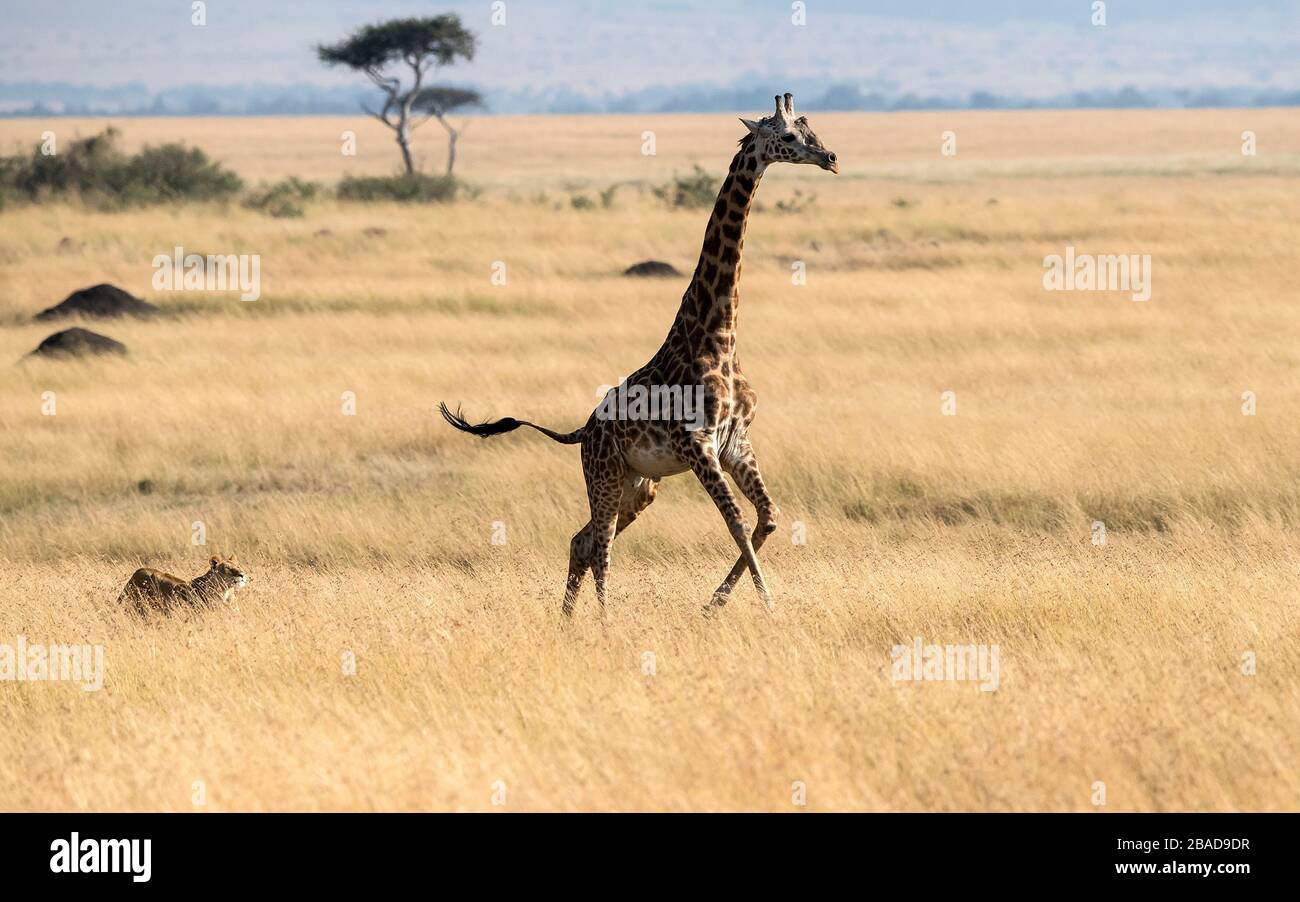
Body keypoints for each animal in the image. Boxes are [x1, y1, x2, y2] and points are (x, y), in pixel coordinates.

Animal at [441, 93, 837, 615]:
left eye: (811, 130)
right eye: (789, 136)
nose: (830, 157)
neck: (719, 334)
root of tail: (582, 430)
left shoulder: (735, 442)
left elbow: (768, 518)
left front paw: (718, 602)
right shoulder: (697, 444)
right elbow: (735, 524)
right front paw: (763, 606)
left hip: (641, 486)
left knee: (583, 540)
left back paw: (568, 621)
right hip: (605, 475)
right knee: (599, 543)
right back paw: (603, 620)